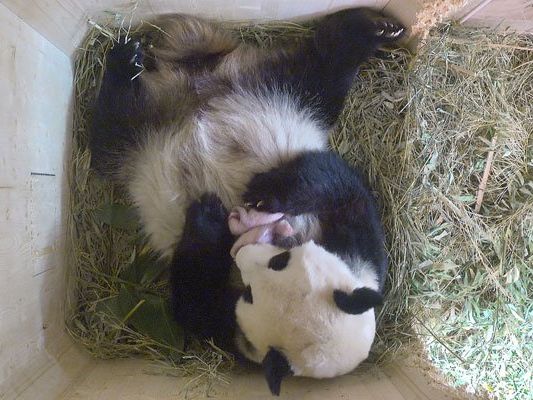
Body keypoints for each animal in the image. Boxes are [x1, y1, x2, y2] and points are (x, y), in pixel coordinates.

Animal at [90, 7, 404, 396]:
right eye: (281, 260)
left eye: (255, 289)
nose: (242, 250)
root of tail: (201, 83)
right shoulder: (358, 247)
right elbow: (340, 186)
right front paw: (264, 190)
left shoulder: (232, 331)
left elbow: (193, 301)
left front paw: (209, 219)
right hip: (281, 93)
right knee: (325, 65)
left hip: (159, 128)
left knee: (111, 127)